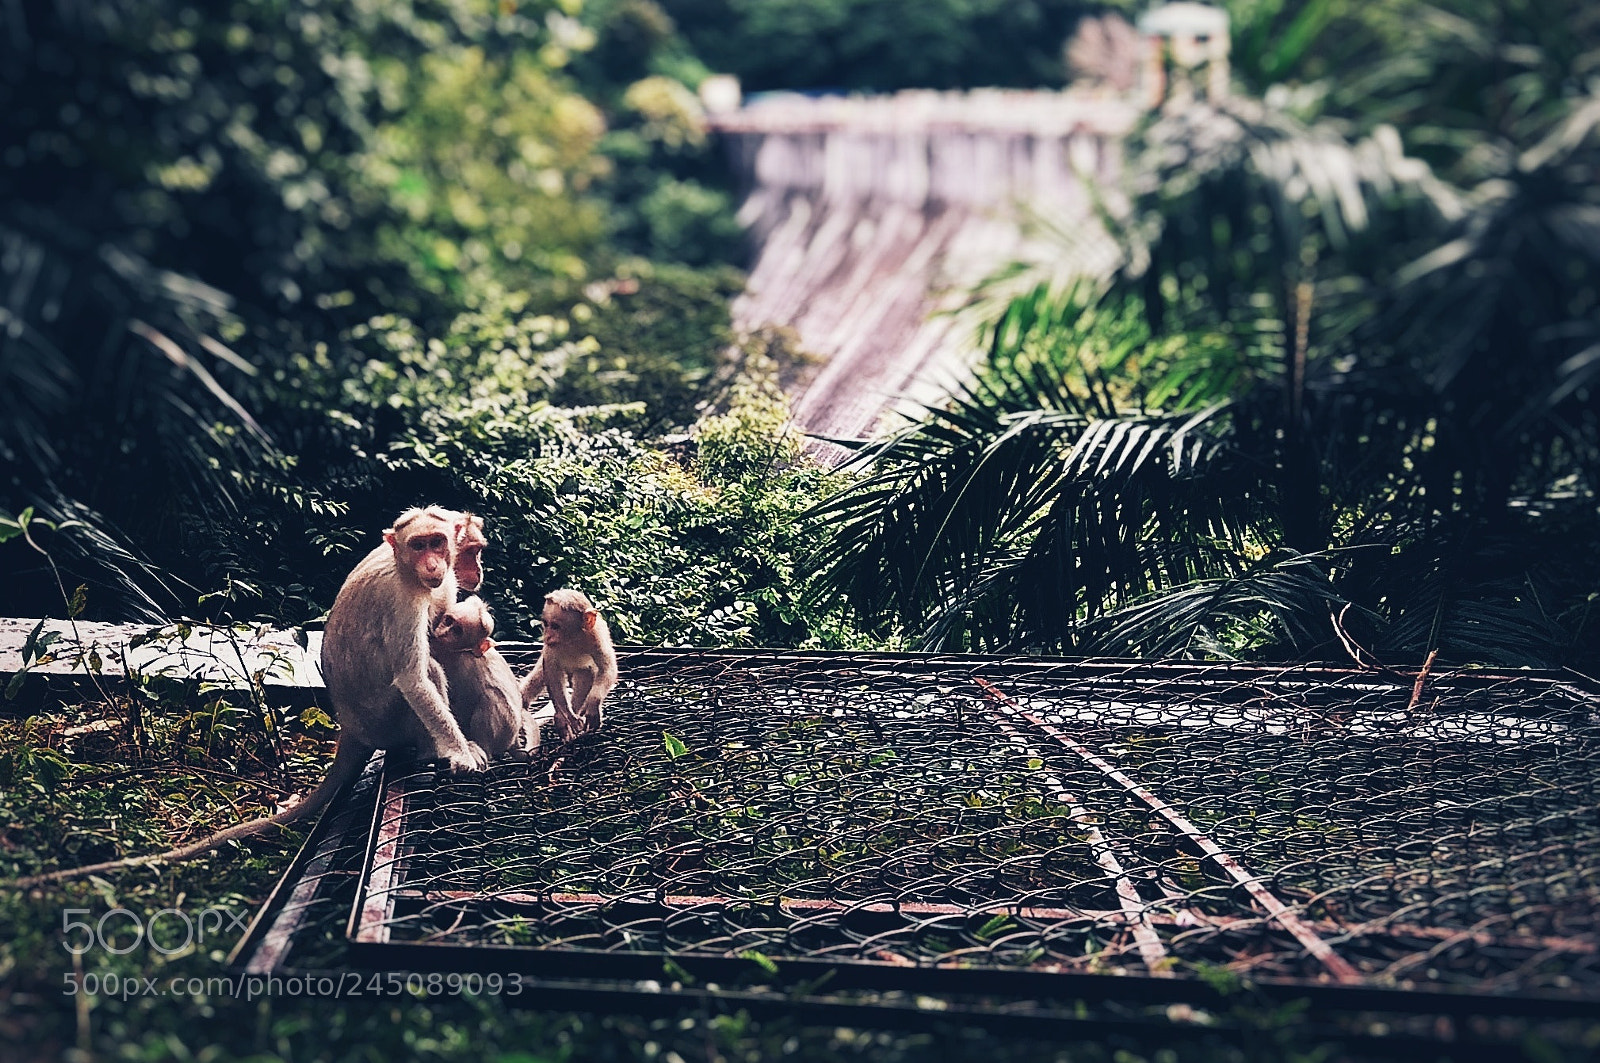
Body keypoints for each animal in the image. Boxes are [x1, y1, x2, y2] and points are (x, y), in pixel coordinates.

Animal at [7, 506, 486, 888]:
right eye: (418, 544)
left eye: (438, 542)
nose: (434, 562)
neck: (407, 571)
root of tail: (351, 729)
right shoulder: (403, 600)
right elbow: (413, 678)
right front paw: (458, 750)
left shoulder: (439, 587)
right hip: (386, 721)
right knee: (426, 672)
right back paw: (432, 747)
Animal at [519, 589, 618, 742]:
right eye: (546, 624)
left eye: (555, 626)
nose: (547, 636)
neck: (572, 640)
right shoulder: (551, 647)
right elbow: (552, 673)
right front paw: (565, 715)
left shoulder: (596, 638)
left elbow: (607, 668)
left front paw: (593, 704)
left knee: (586, 673)